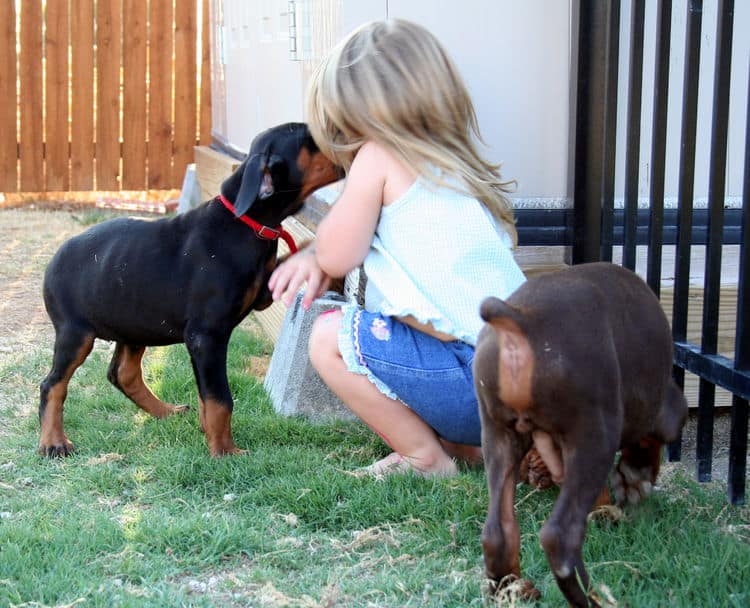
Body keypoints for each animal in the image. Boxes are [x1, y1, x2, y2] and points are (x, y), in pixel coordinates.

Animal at [38, 122, 338, 456]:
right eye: (306, 137)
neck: (246, 224)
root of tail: (52, 262)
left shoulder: (258, 295)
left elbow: (207, 394)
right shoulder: (206, 335)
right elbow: (220, 398)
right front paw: (224, 450)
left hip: (134, 320)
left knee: (123, 374)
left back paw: (165, 411)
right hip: (76, 332)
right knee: (52, 384)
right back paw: (53, 441)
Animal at [476, 262, 688, 608]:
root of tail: (522, 317)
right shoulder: (659, 407)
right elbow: (653, 439)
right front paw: (635, 479)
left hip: (497, 435)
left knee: (496, 532)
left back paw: (513, 588)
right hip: (593, 435)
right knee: (559, 536)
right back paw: (592, 598)